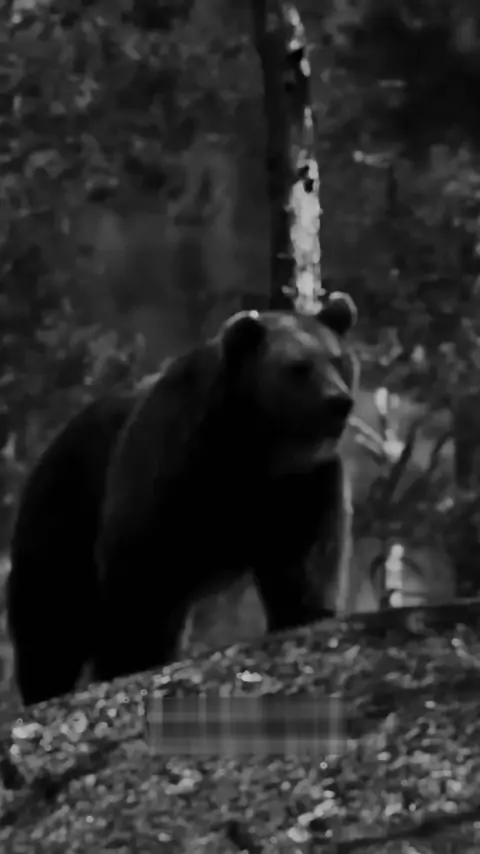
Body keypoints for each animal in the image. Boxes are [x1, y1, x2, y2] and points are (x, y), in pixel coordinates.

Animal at [92, 292, 359, 685]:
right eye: (299, 368)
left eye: (338, 361)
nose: (339, 401)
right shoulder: (172, 480)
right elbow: (140, 589)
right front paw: (131, 659)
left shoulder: (301, 486)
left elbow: (309, 555)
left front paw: (308, 611)